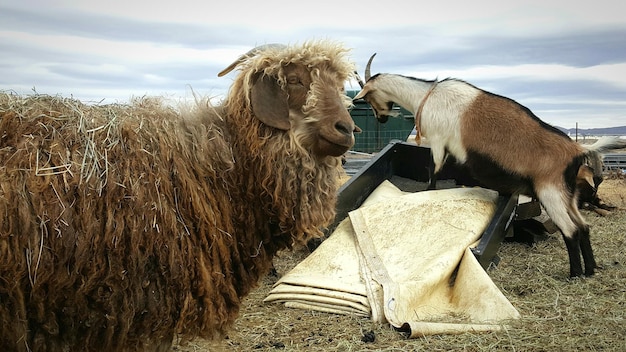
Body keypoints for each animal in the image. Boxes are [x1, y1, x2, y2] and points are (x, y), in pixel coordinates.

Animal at [354, 53, 620, 278]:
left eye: (368, 97)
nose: (381, 118)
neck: (425, 96)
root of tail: (577, 149)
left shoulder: (438, 140)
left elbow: (434, 172)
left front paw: (427, 194)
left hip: (550, 192)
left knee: (571, 230)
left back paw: (574, 274)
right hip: (568, 195)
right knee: (583, 226)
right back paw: (590, 270)